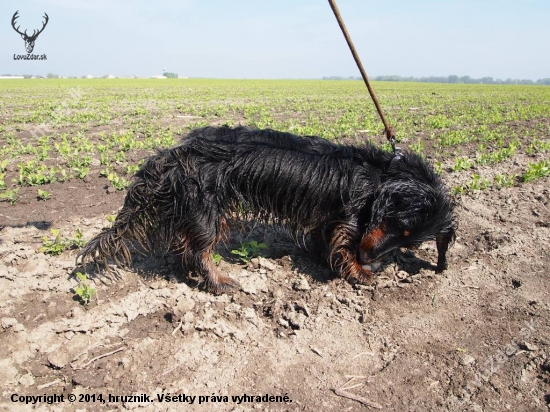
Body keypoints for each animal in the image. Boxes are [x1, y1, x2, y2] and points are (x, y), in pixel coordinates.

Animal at [77, 125, 458, 292]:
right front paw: (359, 273)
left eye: (408, 239)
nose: (372, 260)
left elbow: (325, 240)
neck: (381, 175)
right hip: (208, 212)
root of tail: (174, 154)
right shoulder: (350, 221)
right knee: (199, 252)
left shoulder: (332, 218)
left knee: (186, 249)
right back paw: (220, 282)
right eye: (397, 225)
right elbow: (345, 246)